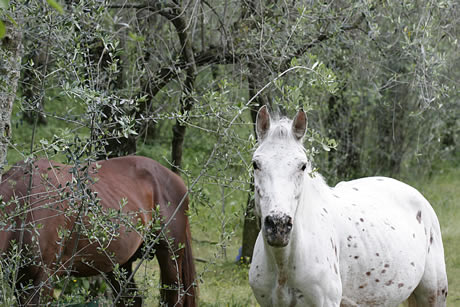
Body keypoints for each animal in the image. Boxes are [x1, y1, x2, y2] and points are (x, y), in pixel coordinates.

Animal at [0, 158, 196, 306]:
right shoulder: (18, 281)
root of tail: (177, 179)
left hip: (170, 255)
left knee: (176, 297)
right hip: (119, 265)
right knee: (131, 299)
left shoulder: (42, 278)